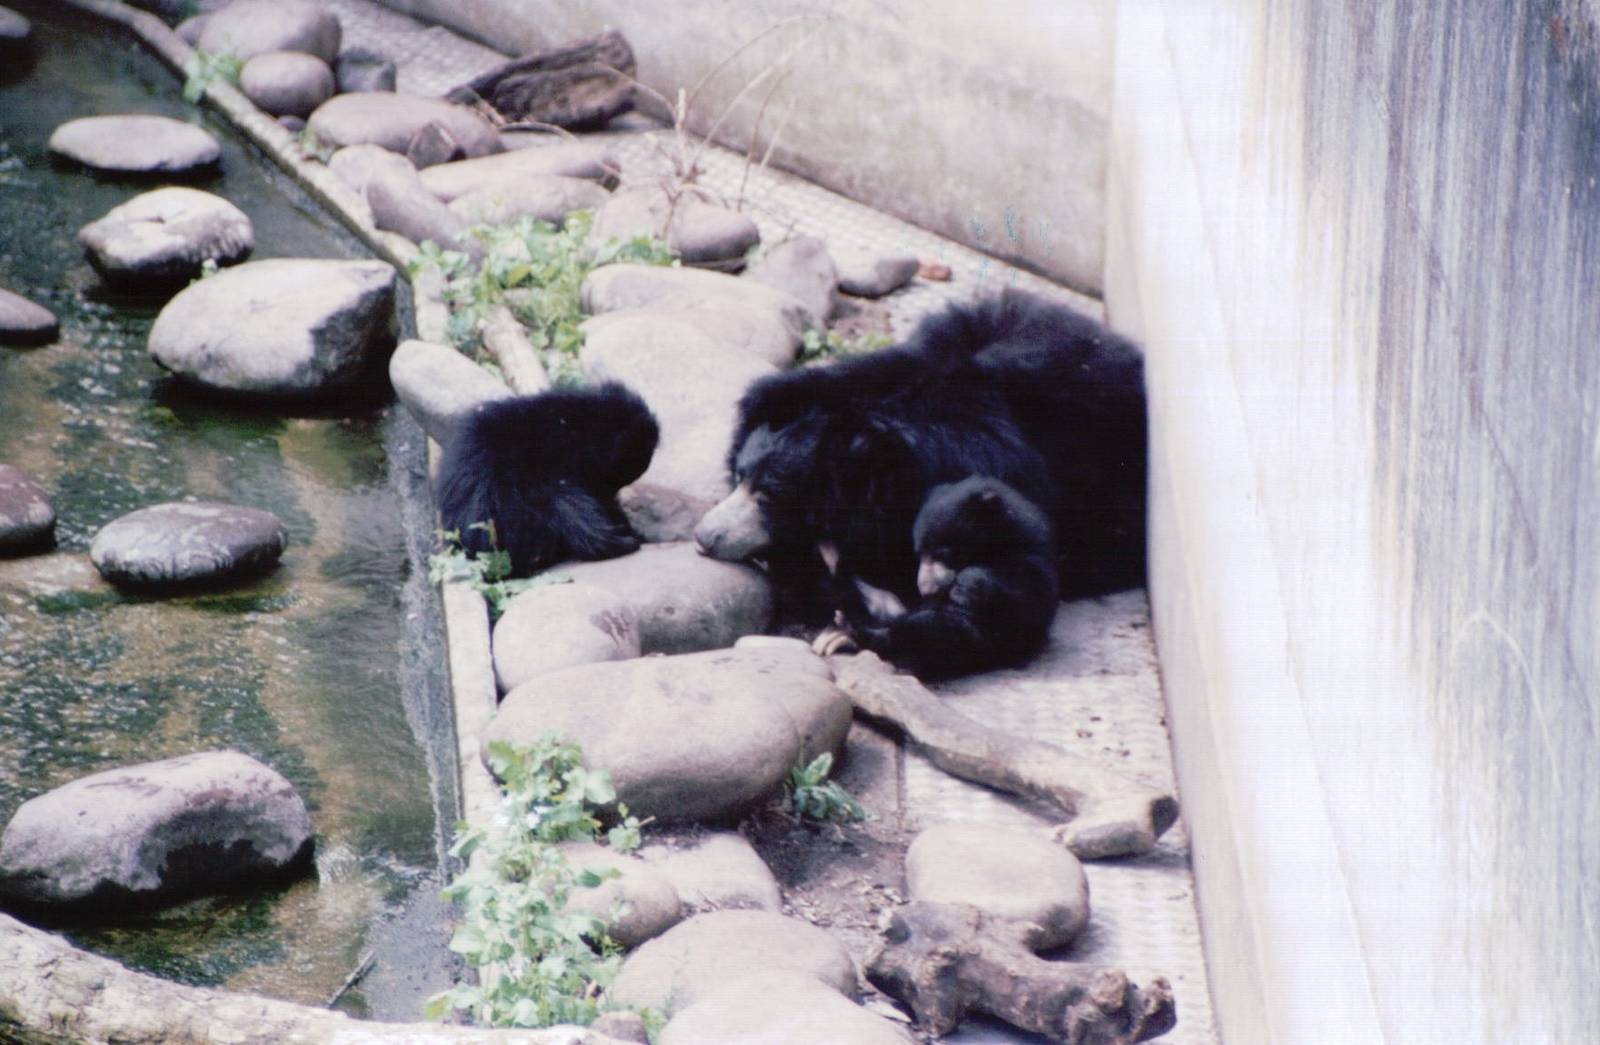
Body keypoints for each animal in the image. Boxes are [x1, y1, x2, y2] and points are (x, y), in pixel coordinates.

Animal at [830, 475, 1061, 680]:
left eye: (941, 554)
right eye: (920, 554)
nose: (926, 589)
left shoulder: (1030, 557)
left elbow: (1027, 598)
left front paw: (967, 585)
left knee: (943, 630)